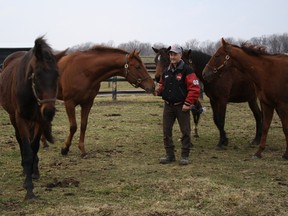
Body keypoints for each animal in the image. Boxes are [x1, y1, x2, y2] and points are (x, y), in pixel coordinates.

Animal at [0, 36, 66, 199]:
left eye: (57, 75)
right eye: (37, 75)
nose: (49, 111)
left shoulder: (39, 120)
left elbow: (34, 147)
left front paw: (33, 174)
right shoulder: (21, 118)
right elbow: (27, 150)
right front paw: (29, 190)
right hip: (13, 117)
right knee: (20, 141)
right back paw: (25, 170)